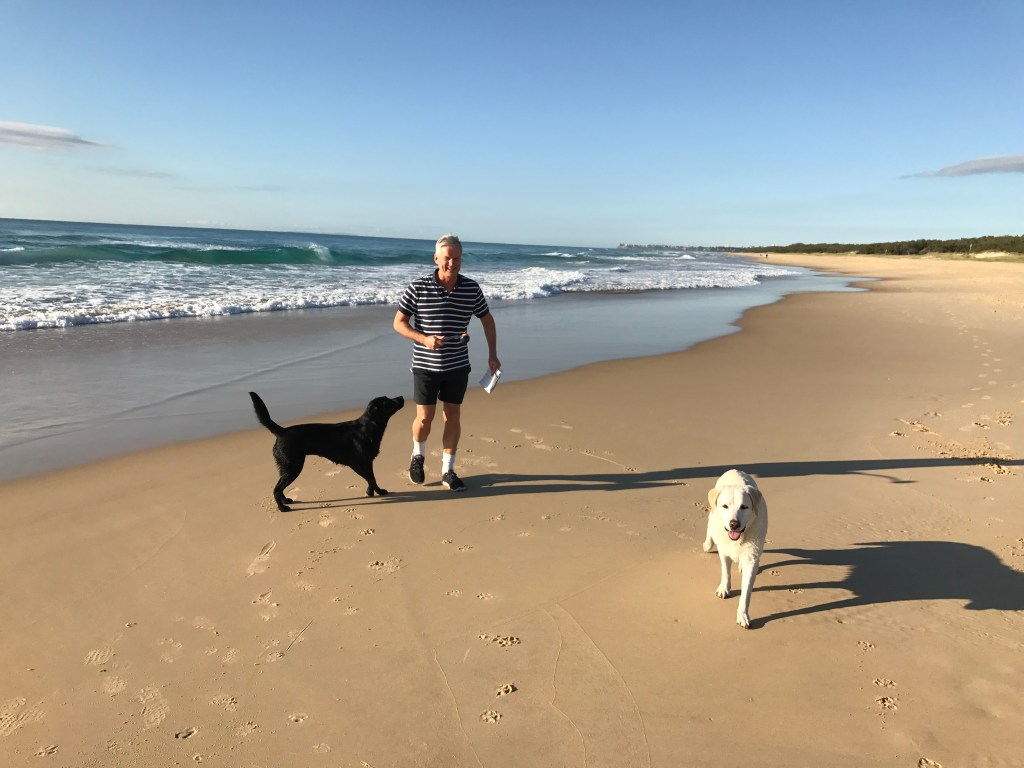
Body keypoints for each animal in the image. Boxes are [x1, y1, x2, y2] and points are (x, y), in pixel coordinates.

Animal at [249, 391, 404, 511]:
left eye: (387, 398)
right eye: (386, 402)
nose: (401, 397)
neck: (367, 428)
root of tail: (282, 431)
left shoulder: (368, 462)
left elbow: (371, 478)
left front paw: (373, 492)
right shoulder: (358, 464)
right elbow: (371, 478)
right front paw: (375, 492)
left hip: (288, 467)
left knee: (279, 487)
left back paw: (286, 500)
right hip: (292, 466)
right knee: (276, 488)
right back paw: (282, 508)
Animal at [703, 469, 769, 628]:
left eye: (744, 507)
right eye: (725, 506)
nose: (734, 524)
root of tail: (735, 470)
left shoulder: (752, 557)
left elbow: (746, 592)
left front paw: (743, 615)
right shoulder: (724, 551)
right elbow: (726, 571)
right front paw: (724, 588)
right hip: (713, 514)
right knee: (710, 525)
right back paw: (707, 544)